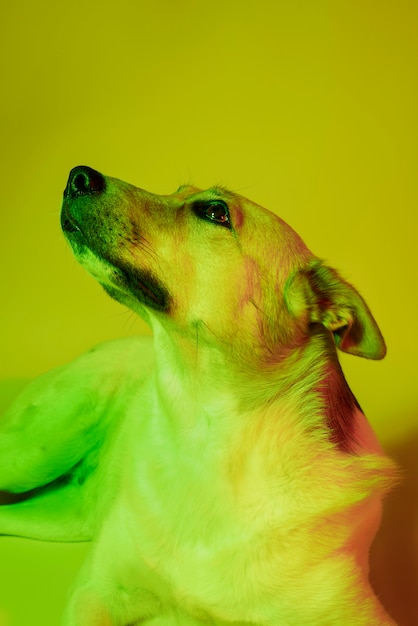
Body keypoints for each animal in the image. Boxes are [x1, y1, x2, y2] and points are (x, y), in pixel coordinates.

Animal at [0, 166, 396, 624]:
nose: (77, 175)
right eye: (177, 191)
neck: (204, 435)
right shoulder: (96, 591)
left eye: (214, 211)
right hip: (34, 451)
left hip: (63, 513)